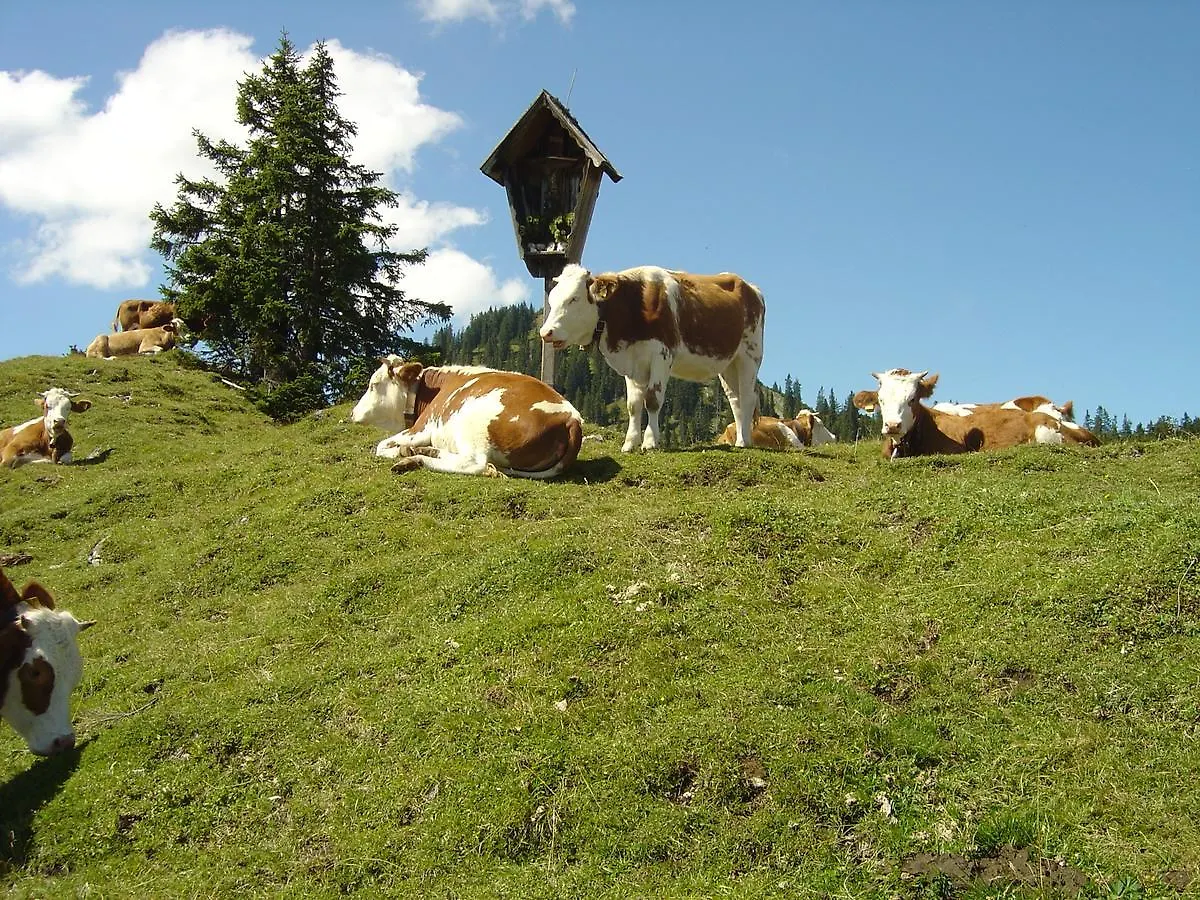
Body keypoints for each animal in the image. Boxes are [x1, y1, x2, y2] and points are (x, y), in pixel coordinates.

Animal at [350, 357, 583, 482]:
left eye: (373, 385)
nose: (352, 413)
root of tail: (572, 418)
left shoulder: (421, 428)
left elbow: (380, 446)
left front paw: (401, 451)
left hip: (472, 423)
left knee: (475, 464)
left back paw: (415, 458)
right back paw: (423, 452)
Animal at [540, 264, 763, 453]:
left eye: (574, 298)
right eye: (551, 300)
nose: (546, 332)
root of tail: (750, 287)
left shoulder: (662, 354)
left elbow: (653, 399)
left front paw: (649, 442)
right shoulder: (633, 362)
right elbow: (633, 405)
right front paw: (630, 443)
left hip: (749, 355)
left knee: (748, 396)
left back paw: (744, 441)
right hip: (728, 364)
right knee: (735, 399)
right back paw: (741, 439)